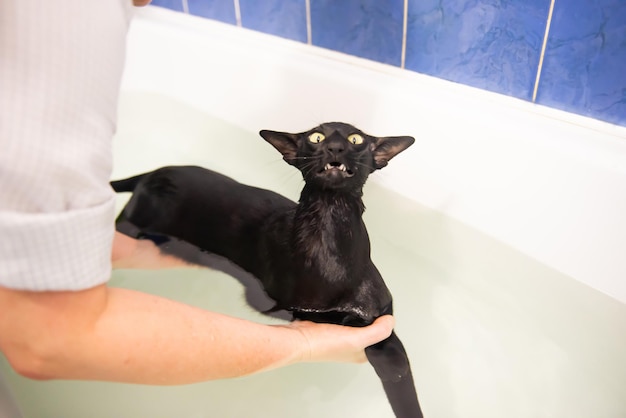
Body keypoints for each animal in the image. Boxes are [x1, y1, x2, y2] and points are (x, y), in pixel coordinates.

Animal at [112, 122, 424, 416]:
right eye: (316, 137)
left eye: (355, 139)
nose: (335, 146)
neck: (331, 249)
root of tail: (154, 172)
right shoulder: (280, 304)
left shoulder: (381, 310)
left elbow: (394, 355)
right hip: (135, 219)